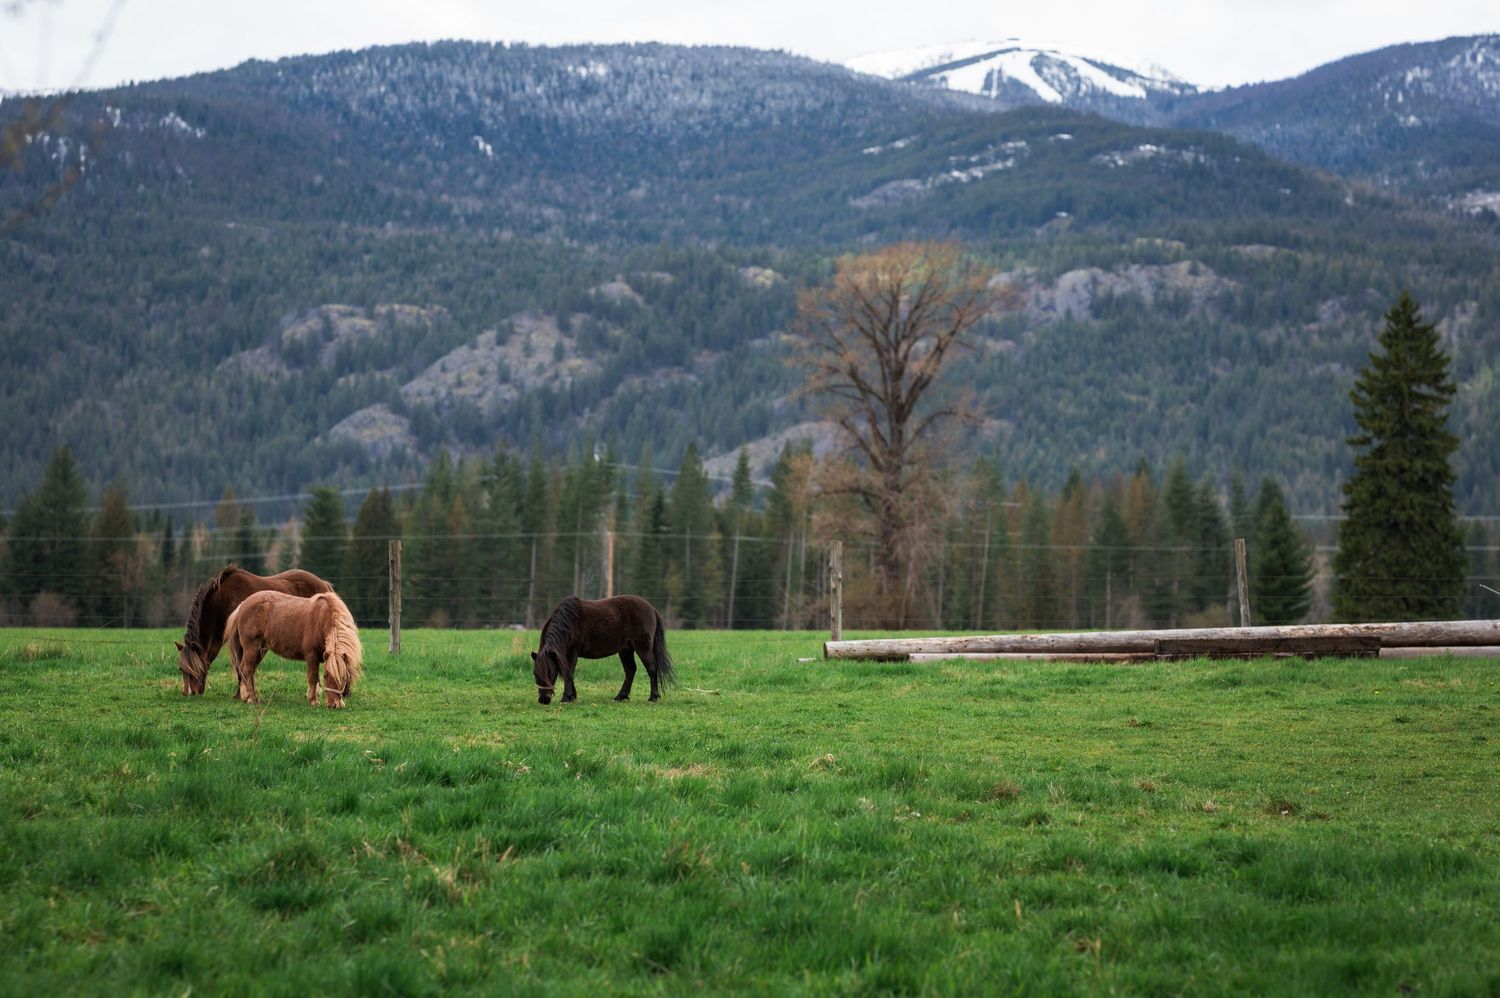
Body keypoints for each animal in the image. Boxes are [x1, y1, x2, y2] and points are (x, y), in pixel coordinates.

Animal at [175, 566, 333, 695]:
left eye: (191, 669)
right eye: (181, 670)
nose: (189, 693)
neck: (224, 599)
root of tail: (323, 583)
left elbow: (242, 666)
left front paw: (242, 693)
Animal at [224, 590, 364, 707]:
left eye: (344, 678)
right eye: (325, 676)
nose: (333, 705)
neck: (323, 618)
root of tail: (242, 605)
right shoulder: (311, 656)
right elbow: (313, 677)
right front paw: (313, 700)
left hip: (260, 650)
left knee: (250, 670)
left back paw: (250, 696)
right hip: (251, 647)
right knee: (246, 669)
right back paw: (251, 698)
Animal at [531, 595, 675, 705]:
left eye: (551, 673)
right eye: (535, 673)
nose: (543, 700)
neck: (569, 622)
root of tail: (651, 608)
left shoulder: (573, 653)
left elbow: (568, 673)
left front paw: (566, 697)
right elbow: (569, 673)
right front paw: (572, 696)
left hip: (643, 647)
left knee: (651, 668)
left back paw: (653, 697)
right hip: (626, 650)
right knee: (630, 670)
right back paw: (621, 696)